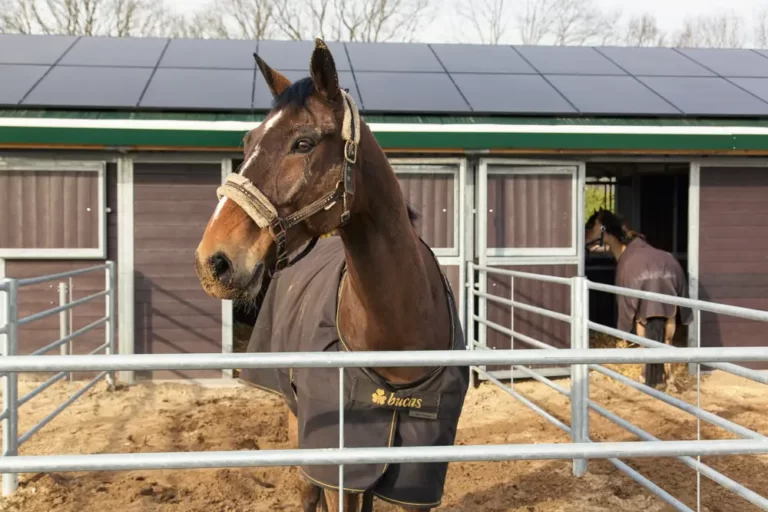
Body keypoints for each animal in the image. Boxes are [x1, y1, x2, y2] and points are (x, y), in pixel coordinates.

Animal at [584, 208, 692, 388]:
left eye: (590, 225)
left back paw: (644, 377)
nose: (585, 244)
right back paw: (669, 381)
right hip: (670, 315)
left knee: (644, 341)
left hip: (643, 317)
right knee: (666, 342)